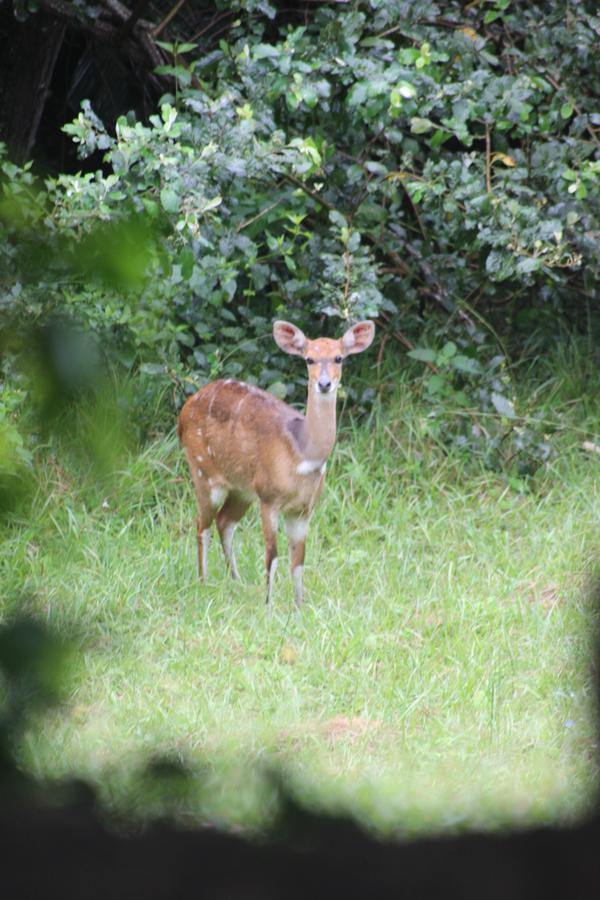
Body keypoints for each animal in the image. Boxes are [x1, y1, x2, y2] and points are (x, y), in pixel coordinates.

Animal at [178, 320, 376, 608]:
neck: (303, 455)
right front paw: (268, 606)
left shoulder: (303, 509)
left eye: (339, 357)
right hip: (204, 472)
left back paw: (236, 582)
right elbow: (272, 555)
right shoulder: (269, 498)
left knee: (224, 522)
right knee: (202, 525)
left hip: (242, 489)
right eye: (309, 358)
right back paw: (203, 584)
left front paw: (299, 606)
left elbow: (298, 561)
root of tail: (184, 411)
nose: (324, 383)